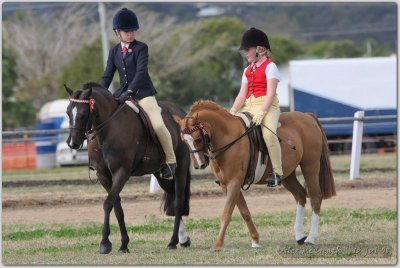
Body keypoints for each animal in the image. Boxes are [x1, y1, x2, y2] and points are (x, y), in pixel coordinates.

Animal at [64, 82, 192, 254]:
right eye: (68, 112)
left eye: (84, 114)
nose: (73, 143)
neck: (106, 131)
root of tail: (180, 112)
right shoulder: (104, 175)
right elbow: (117, 207)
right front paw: (124, 244)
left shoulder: (121, 172)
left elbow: (107, 203)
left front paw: (105, 243)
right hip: (160, 175)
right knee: (172, 200)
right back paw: (183, 239)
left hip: (180, 169)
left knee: (178, 204)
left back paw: (173, 241)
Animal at [177, 99, 336, 250]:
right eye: (184, 141)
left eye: (197, 138)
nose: (199, 165)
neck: (228, 137)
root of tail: (307, 116)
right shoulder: (226, 185)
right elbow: (244, 212)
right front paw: (255, 240)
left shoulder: (234, 182)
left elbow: (227, 213)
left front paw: (217, 244)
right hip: (287, 174)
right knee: (300, 195)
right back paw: (300, 236)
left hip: (310, 166)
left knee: (315, 197)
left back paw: (311, 238)